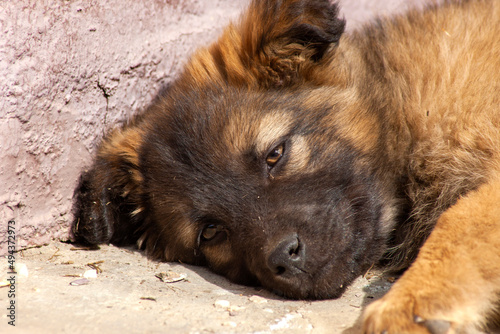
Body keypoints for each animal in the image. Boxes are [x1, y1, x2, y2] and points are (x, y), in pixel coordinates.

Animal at [72, 1, 500, 332]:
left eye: (275, 154)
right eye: (210, 233)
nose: (284, 258)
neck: (399, 103)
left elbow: (460, 222)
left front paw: (409, 309)